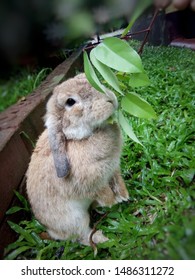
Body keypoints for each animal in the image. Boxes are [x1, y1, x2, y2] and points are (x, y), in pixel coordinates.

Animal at [26, 72, 129, 245]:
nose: (109, 99)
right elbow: (104, 193)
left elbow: (117, 181)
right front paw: (112, 203)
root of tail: (51, 230)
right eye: (70, 102)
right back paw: (103, 239)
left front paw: (123, 197)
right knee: (82, 235)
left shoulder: (113, 169)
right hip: (73, 219)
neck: (78, 138)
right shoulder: (93, 184)